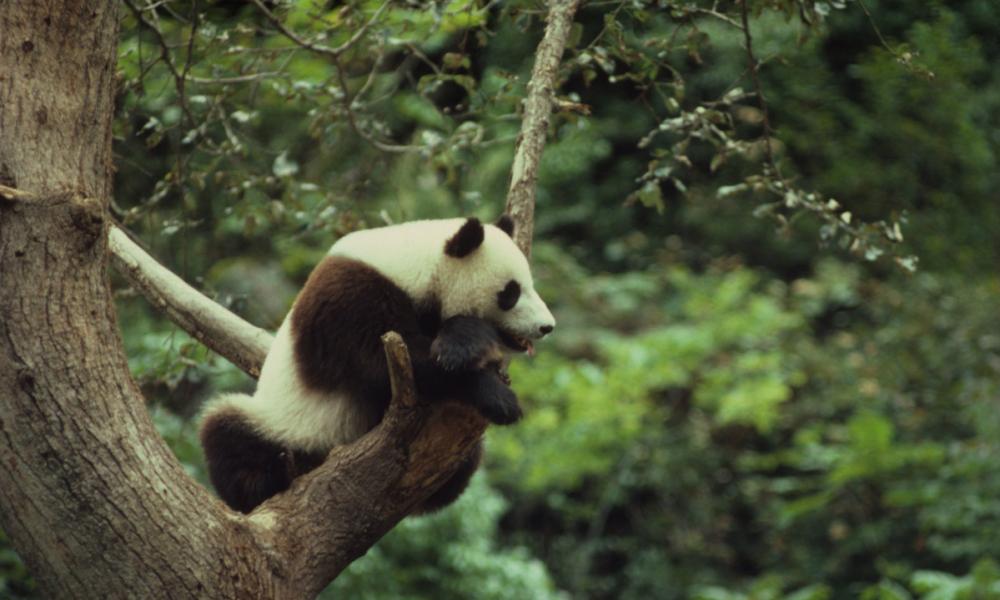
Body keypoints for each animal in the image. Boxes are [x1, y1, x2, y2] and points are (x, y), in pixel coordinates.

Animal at [199, 216, 555, 514]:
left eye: (531, 285)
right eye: (511, 292)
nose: (547, 326)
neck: (417, 264)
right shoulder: (351, 298)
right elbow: (385, 365)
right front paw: (495, 391)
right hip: (288, 424)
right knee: (227, 430)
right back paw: (266, 480)